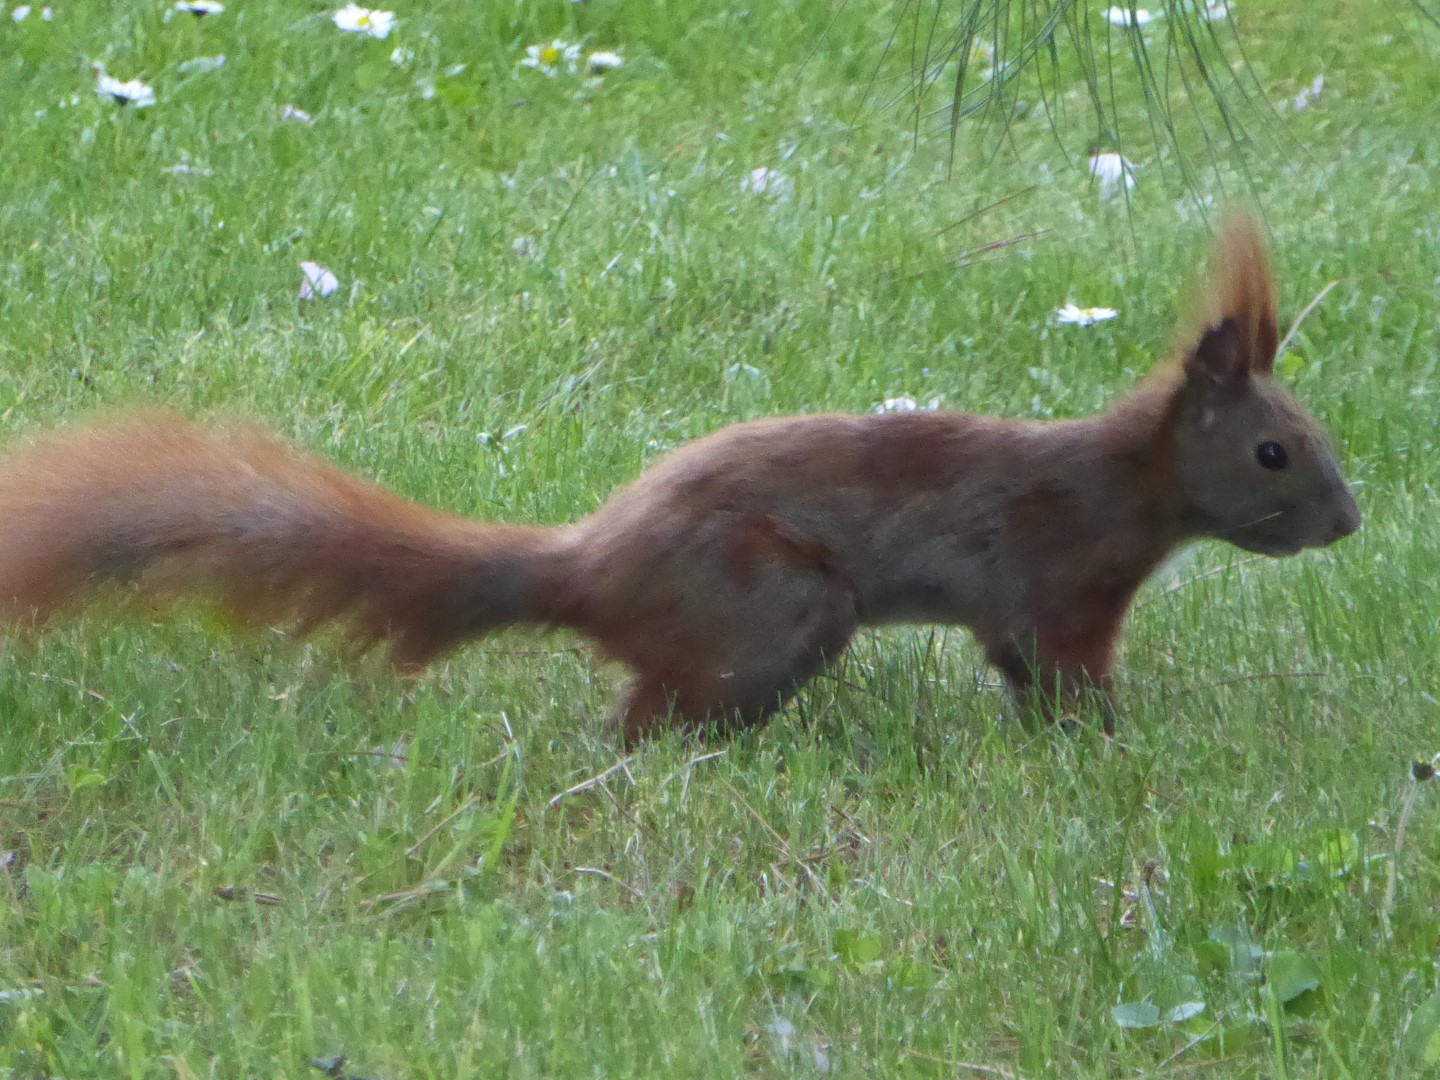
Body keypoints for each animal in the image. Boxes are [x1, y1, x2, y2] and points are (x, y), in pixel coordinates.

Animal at [0, 213, 1360, 744]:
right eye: (1276, 450)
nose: (1348, 524)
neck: (1124, 480)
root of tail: (592, 570)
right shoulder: (1062, 576)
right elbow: (1065, 667)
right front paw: (1111, 742)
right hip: (778, 601)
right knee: (647, 714)